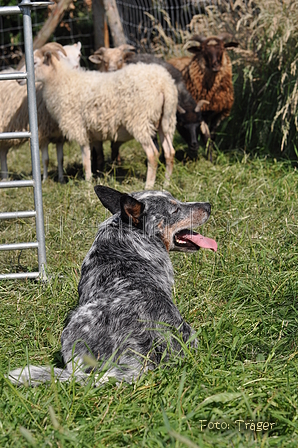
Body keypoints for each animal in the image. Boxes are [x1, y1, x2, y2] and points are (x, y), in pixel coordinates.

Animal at [0, 41, 81, 182]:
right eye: (62, 56)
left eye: (79, 55)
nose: (18, 79)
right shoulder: (42, 135)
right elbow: (46, 159)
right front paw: (44, 180)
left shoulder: (59, 136)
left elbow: (60, 158)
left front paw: (61, 179)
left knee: (3, 153)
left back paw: (5, 177)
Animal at [33, 43, 177, 188]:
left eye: (34, 62)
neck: (62, 80)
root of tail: (164, 84)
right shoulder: (92, 134)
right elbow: (96, 157)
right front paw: (95, 177)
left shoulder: (79, 129)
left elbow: (86, 161)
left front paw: (88, 183)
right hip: (166, 121)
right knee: (169, 152)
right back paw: (167, 184)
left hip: (140, 121)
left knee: (153, 154)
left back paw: (148, 186)